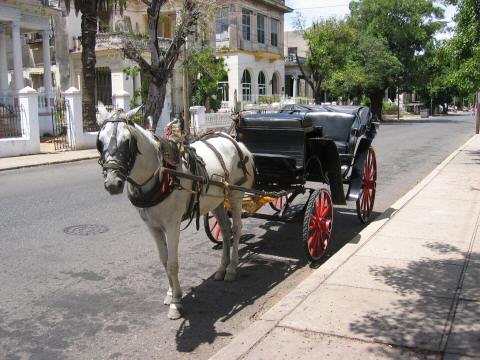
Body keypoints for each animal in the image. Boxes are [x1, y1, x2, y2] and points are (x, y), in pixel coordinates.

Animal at [94, 105, 255, 320]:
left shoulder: (172, 226)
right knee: (225, 229)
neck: (162, 174)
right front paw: (171, 293)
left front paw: (177, 303)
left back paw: (231, 268)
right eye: (99, 142)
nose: (113, 183)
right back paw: (221, 268)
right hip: (217, 200)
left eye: (127, 141)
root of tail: (236, 142)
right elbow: (163, 261)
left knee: (237, 229)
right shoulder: (153, 227)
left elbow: (172, 264)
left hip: (236, 195)